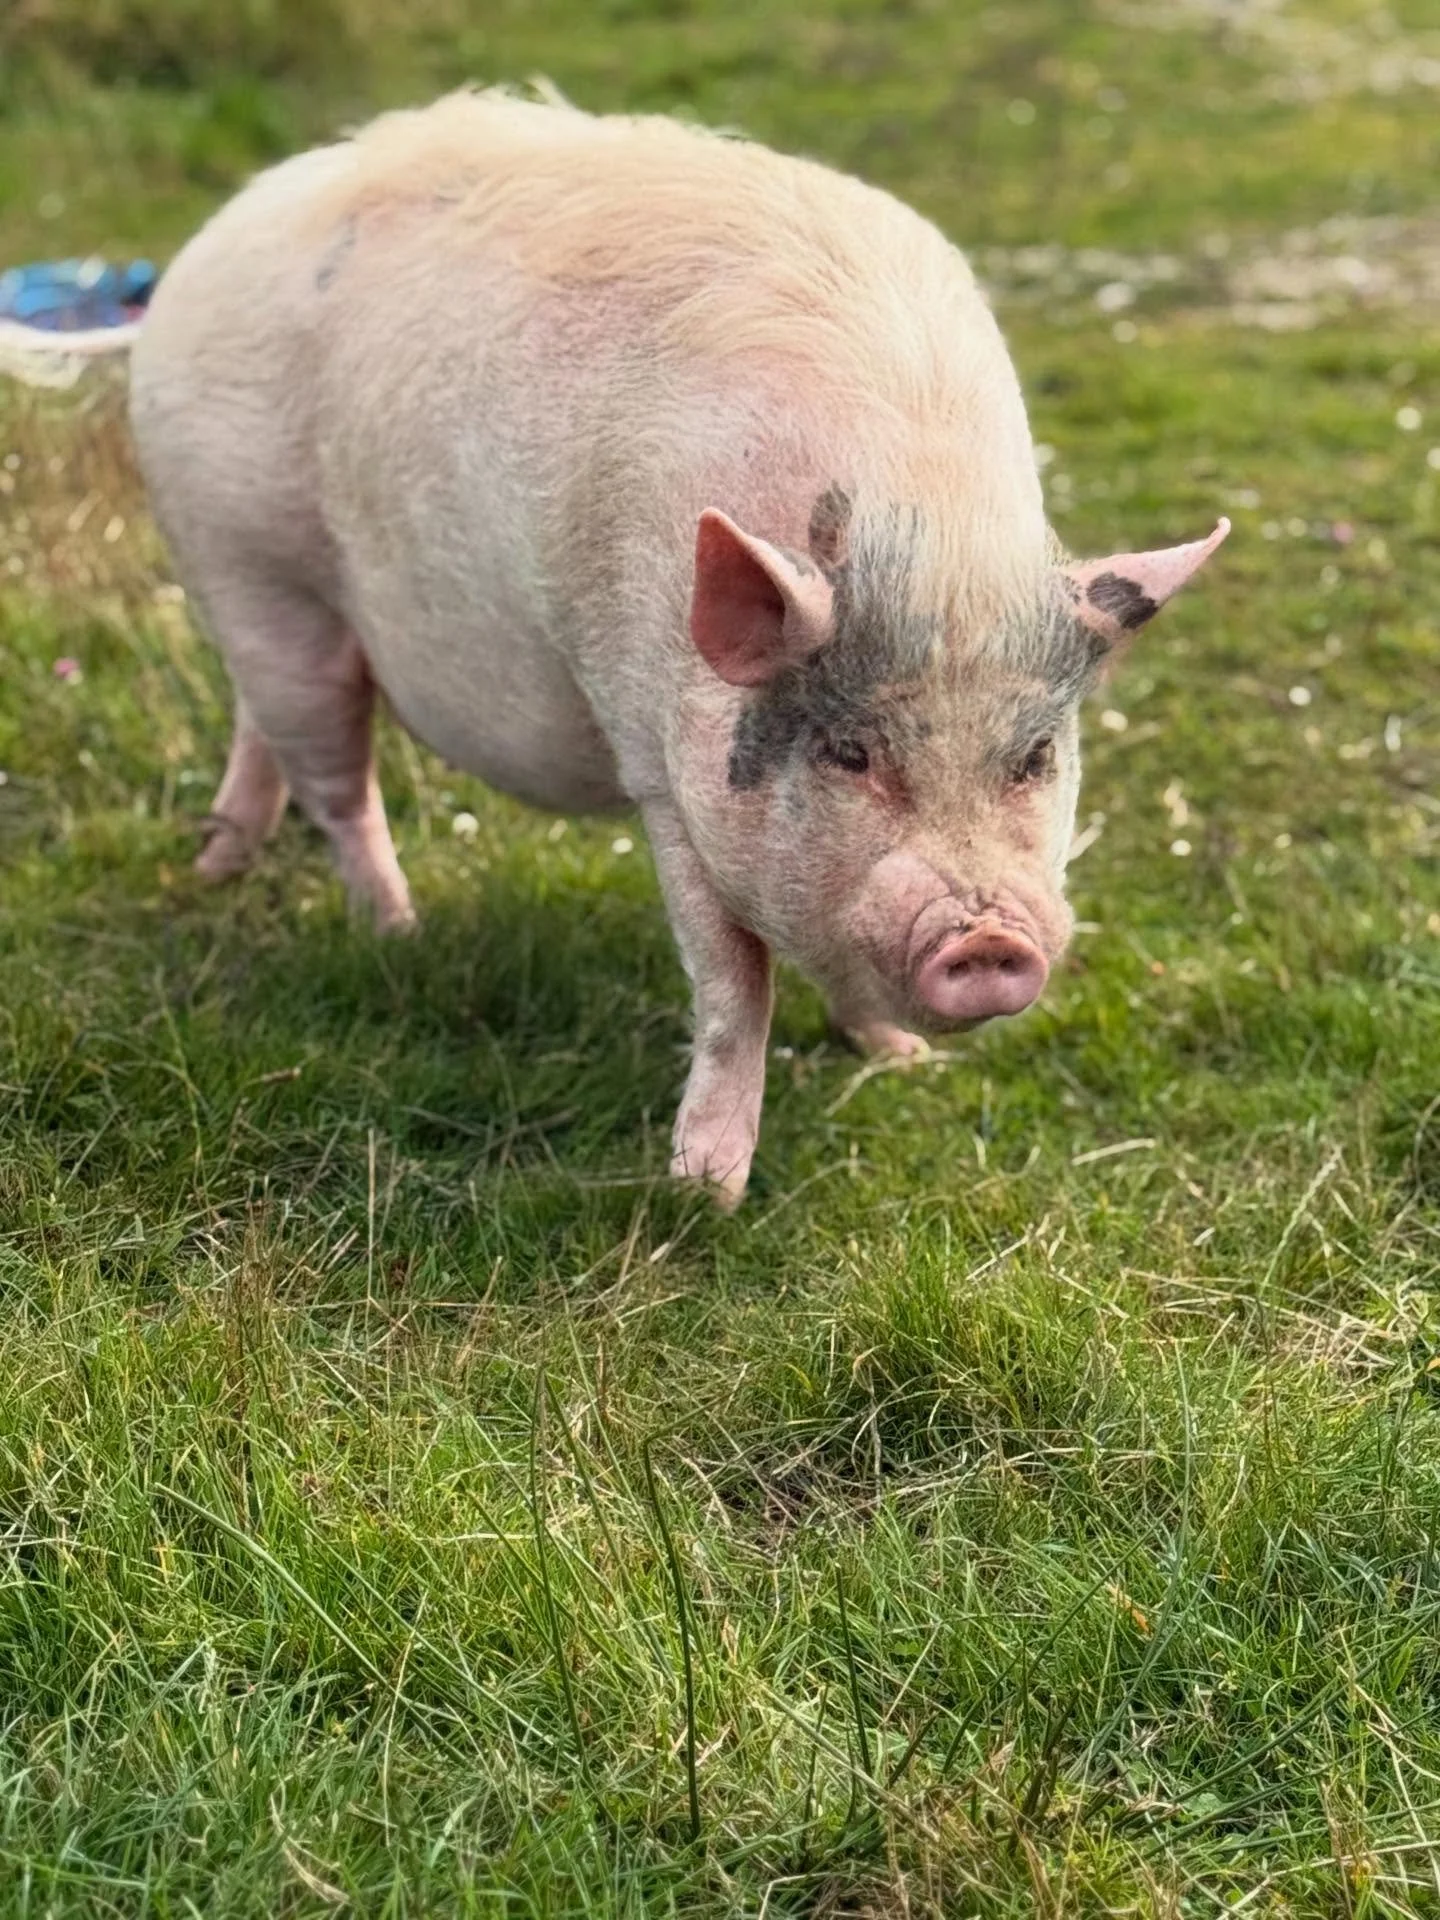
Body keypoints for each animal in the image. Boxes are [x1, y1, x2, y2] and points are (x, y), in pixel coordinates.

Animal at [128, 89, 1227, 1205]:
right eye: (849, 753)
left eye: (1033, 757)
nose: (991, 938)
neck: (925, 541)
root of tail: (222, 229)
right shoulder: (660, 763)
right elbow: (736, 982)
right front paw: (706, 1194)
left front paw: (902, 1063)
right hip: (246, 557)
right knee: (336, 780)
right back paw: (398, 932)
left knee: (264, 725)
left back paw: (221, 862)